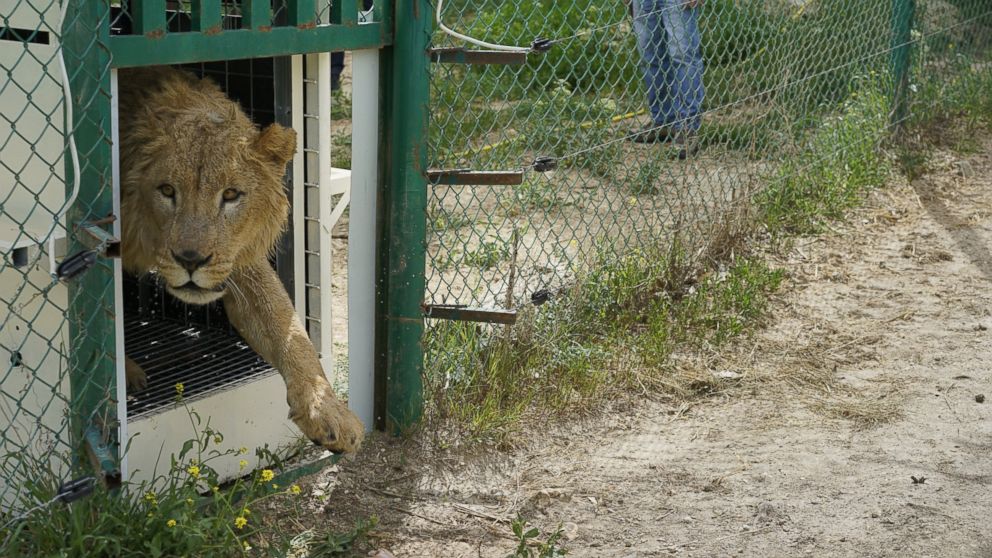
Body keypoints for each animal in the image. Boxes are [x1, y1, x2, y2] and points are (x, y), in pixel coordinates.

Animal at [117, 67, 363, 454]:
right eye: (167, 191)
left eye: (231, 195)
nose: (191, 260)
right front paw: (122, 373)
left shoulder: (239, 259)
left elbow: (288, 326)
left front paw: (328, 411)